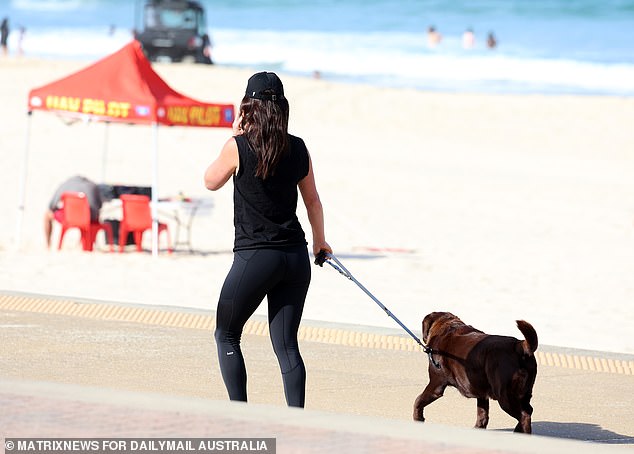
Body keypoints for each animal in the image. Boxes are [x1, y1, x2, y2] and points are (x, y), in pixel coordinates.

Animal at [410, 312, 540, 432]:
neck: (448, 328)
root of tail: (519, 346)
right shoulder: (481, 391)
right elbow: (482, 414)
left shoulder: (436, 384)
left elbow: (418, 400)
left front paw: (418, 418)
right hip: (524, 392)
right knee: (528, 410)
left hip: (505, 395)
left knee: (524, 415)